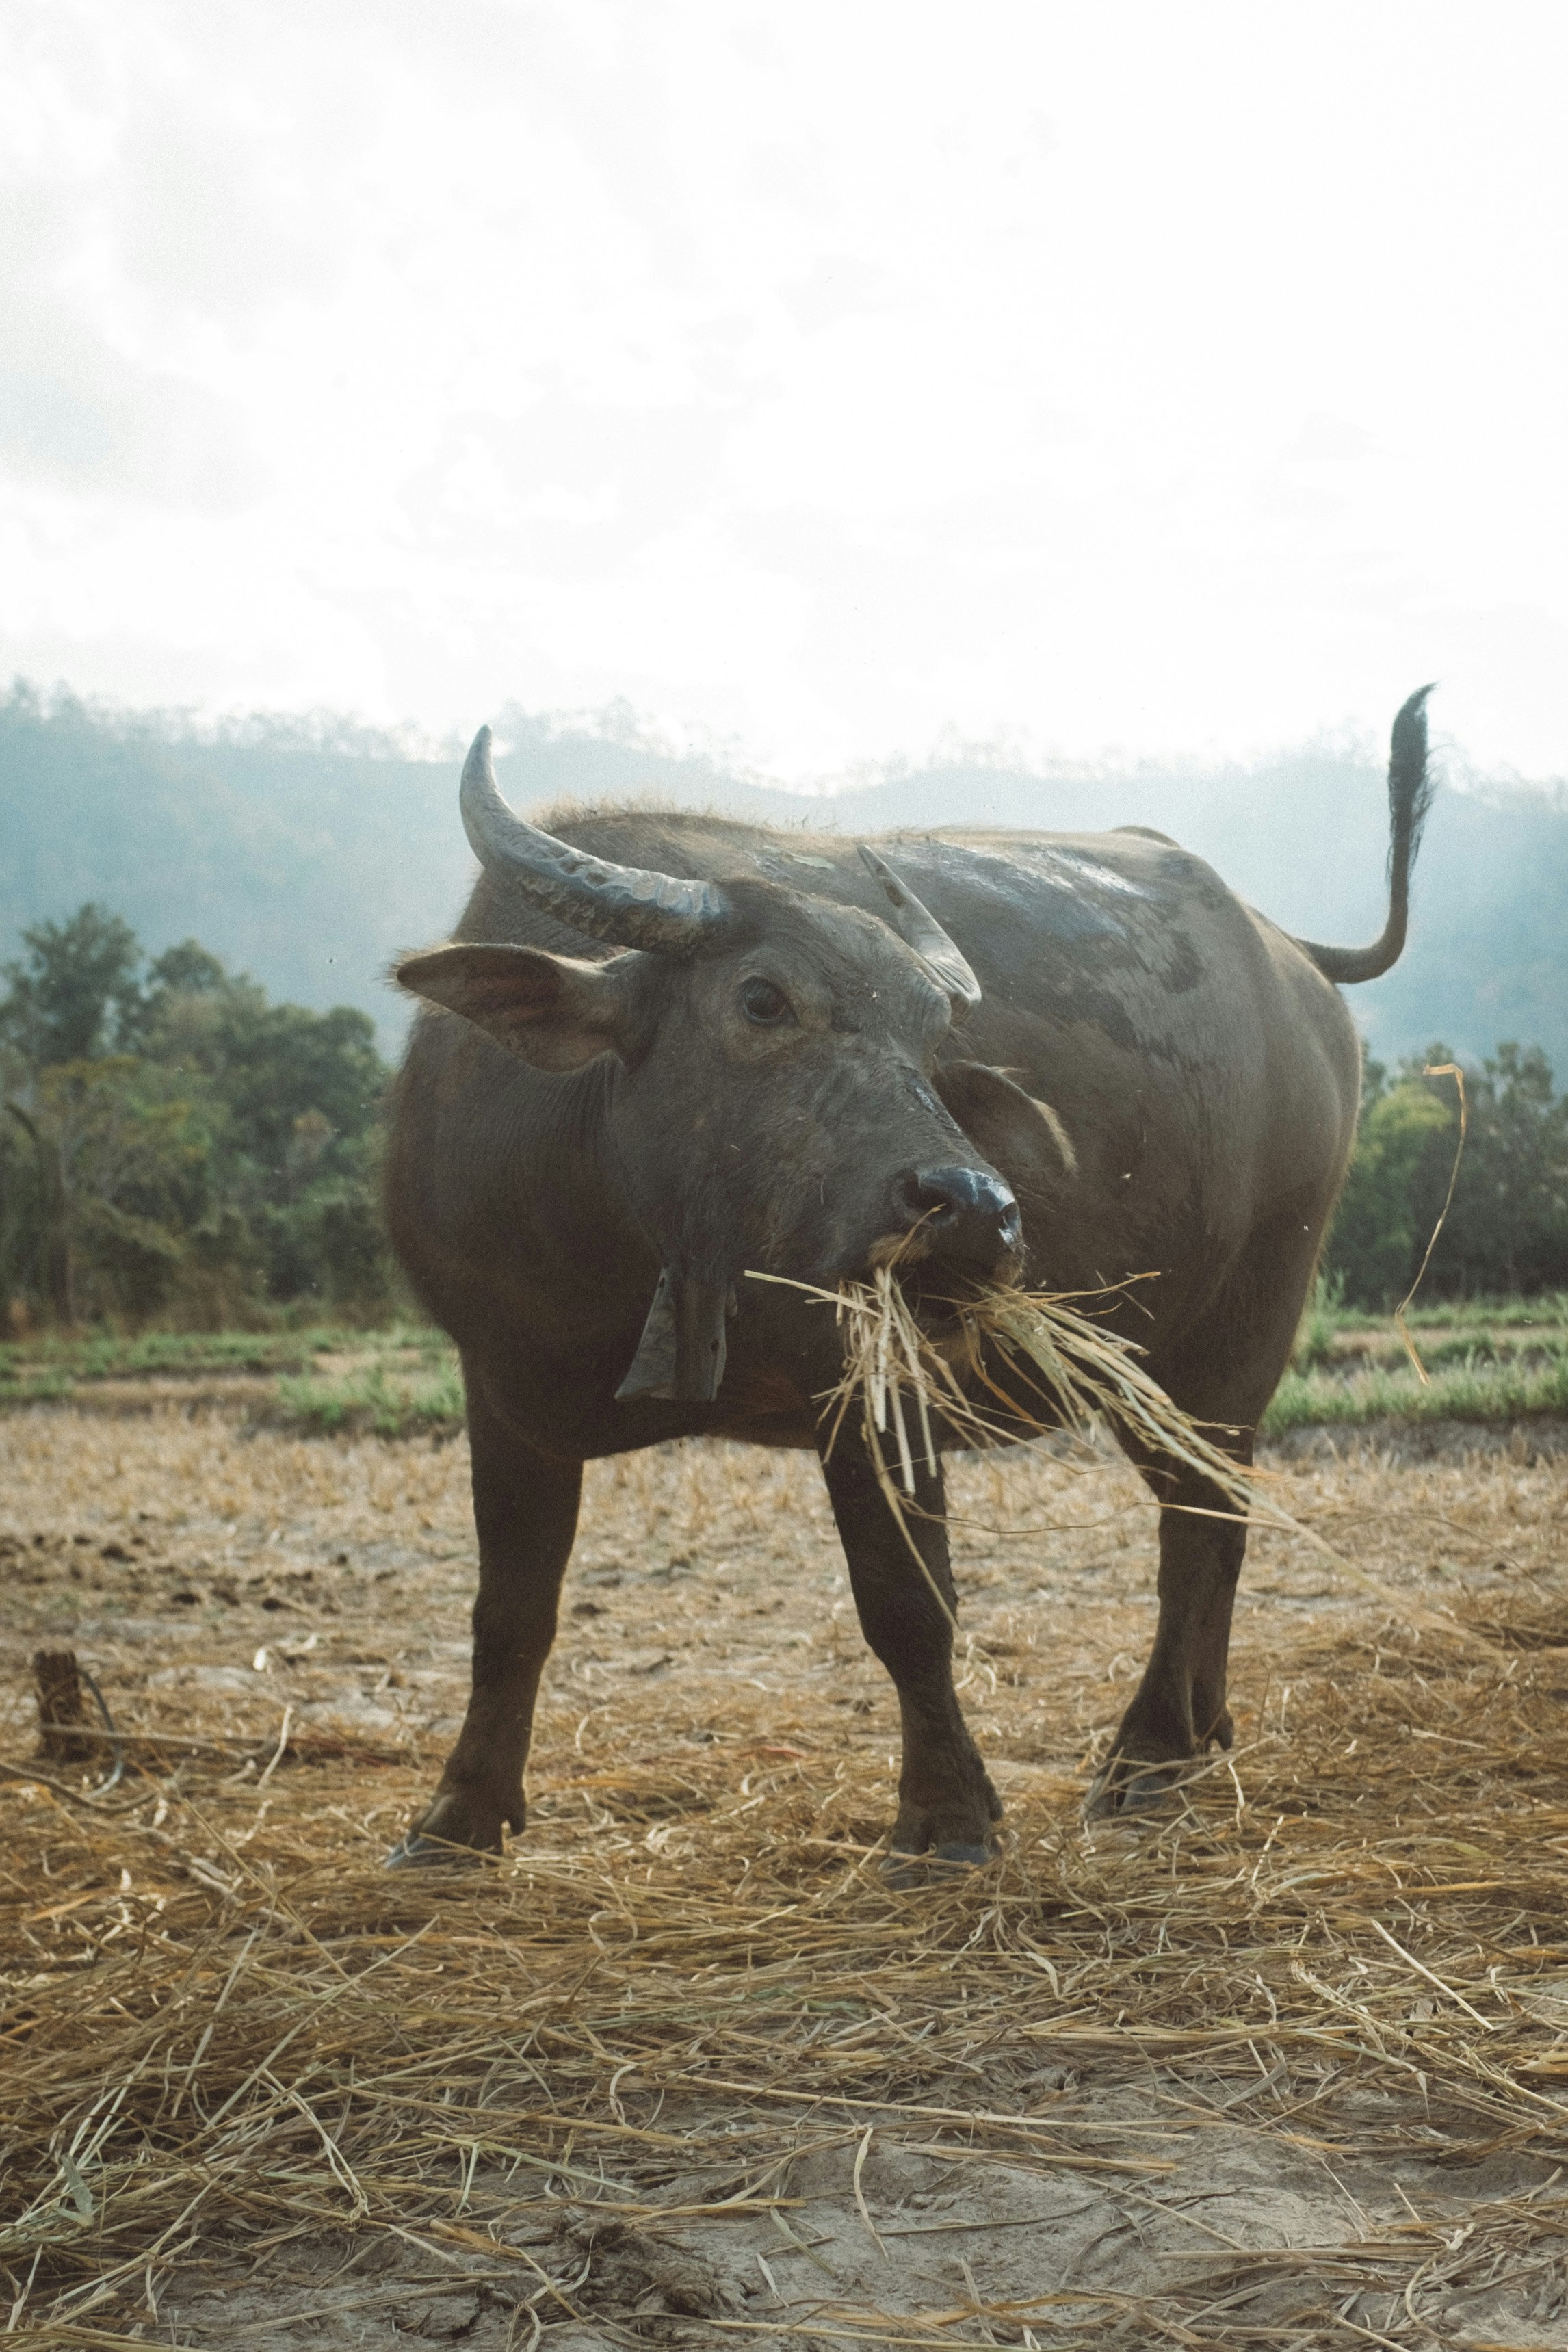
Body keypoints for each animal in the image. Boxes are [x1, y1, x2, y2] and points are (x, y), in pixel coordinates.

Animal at [383, 686, 1439, 1862]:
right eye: (762, 1000)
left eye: (931, 1032)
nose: (973, 1209)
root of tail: (1291, 954)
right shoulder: (499, 1385)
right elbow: (508, 1612)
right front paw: (459, 1814)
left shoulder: (879, 1391)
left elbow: (907, 1602)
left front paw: (946, 1817)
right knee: (1212, 1509)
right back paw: (1202, 1727)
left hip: (1252, 1309)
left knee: (1200, 1516)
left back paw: (1150, 1752)